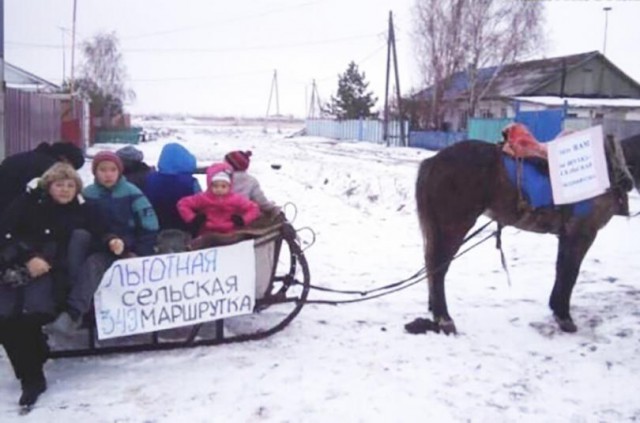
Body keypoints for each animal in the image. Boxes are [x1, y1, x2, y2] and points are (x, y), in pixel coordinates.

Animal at [410, 134, 640, 336]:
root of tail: (433, 161)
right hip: (454, 226)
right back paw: (444, 318)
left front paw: (557, 309)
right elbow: (570, 273)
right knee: (439, 268)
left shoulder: (567, 235)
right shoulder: (582, 234)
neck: (609, 166)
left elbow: (561, 270)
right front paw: (564, 317)